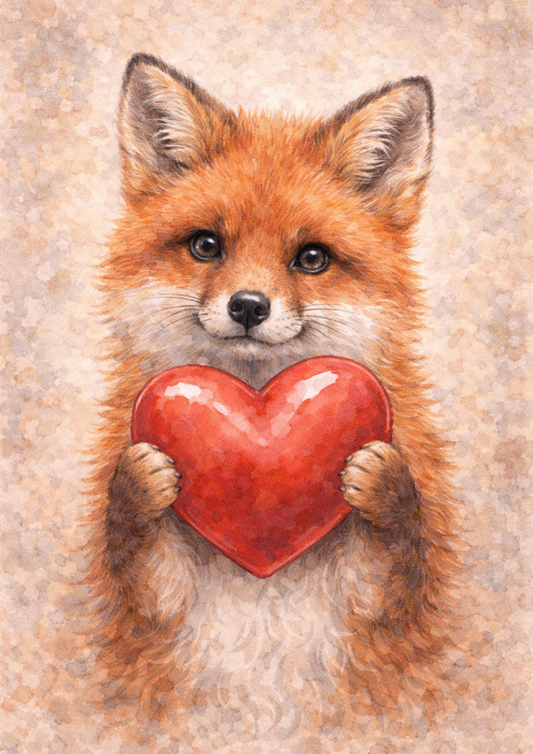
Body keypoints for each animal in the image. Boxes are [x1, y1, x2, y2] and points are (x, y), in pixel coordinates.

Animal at [87, 53, 458, 743]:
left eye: (311, 258)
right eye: (206, 245)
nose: (249, 307)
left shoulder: (379, 616)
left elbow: (402, 565)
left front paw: (385, 484)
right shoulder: (157, 614)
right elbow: (135, 564)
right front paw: (139, 484)